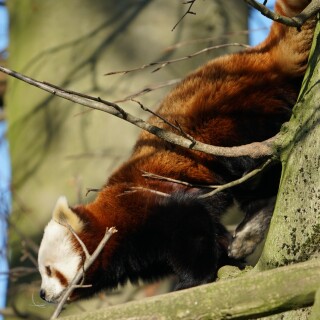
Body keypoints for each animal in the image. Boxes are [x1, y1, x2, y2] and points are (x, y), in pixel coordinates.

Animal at [37, 0, 316, 302]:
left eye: (50, 270)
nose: (42, 294)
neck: (115, 224)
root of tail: (258, 56)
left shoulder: (151, 205)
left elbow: (190, 224)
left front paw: (192, 281)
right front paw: (226, 260)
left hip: (239, 121)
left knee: (258, 167)